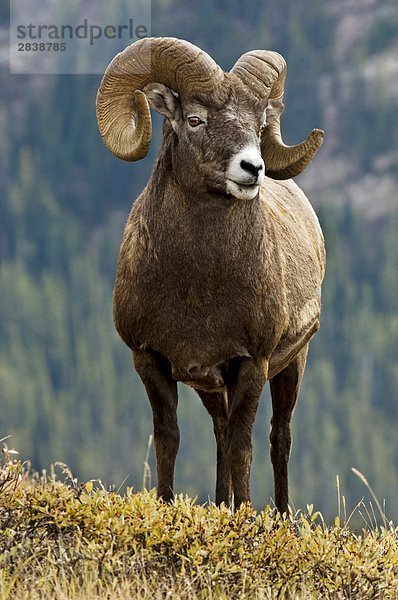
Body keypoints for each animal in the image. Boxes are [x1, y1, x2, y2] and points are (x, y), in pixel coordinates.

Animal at [97, 37, 326, 512]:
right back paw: (222, 504)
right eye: (195, 119)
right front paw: (168, 509)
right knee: (220, 432)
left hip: (293, 363)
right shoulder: (151, 360)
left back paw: (281, 517)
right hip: (210, 387)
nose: (252, 169)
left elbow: (243, 447)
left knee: (279, 437)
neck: (196, 288)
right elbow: (169, 440)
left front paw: (245, 517)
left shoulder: (252, 364)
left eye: (259, 124)